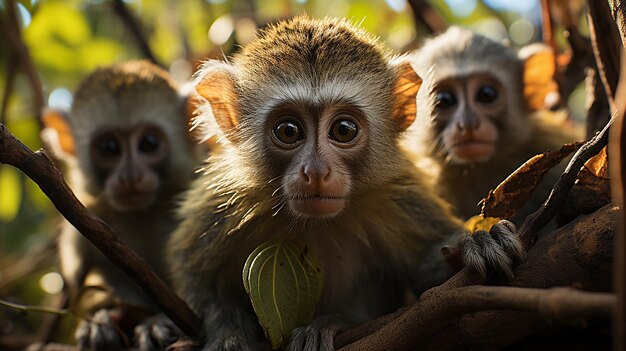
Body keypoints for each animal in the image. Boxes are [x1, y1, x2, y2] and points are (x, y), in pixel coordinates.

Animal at [40, 61, 202, 351]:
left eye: (149, 144)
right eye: (109, 148)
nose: (131, 177)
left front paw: (155, 323)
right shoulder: (86, 223)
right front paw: (104, 319)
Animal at [168, 16, 524, 351]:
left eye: (343, 129)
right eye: (288, 131)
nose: (316, 171)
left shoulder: (400, 197)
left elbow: (429, 283)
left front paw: (473, 244)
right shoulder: (222, 203)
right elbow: (198, 280)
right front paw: (227, 336)